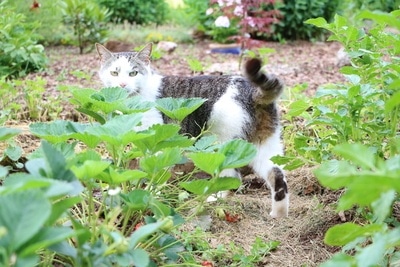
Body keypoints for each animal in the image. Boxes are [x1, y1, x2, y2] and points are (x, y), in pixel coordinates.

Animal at [95, 42, 290, 218]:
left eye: (133, 73)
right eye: (114, 72)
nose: (122, 84)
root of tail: (250, 90)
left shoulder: (156, 139)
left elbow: (155, 170)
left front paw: (151, 195)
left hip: (223, 145)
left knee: (233, 178)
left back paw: (212, 198)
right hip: (265, 144)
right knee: (278, 176)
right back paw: (278, 214)